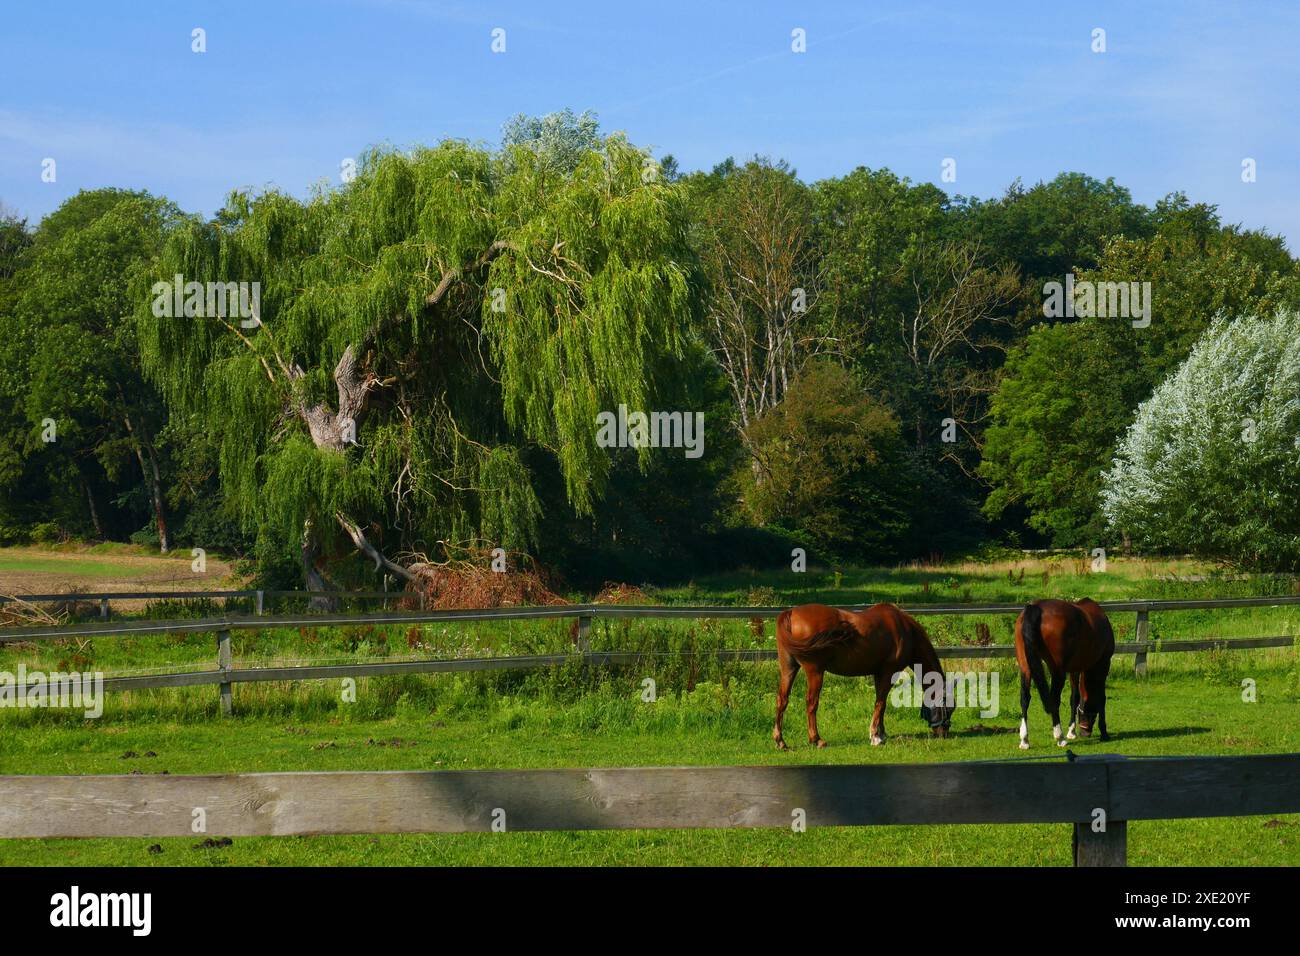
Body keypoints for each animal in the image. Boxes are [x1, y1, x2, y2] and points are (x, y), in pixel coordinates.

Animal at [774, 600, 951, 749]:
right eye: (948, 707)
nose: (944, 733)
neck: (904, 629)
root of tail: (790, 613)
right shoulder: (889, 672)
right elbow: (881, 703)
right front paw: (875, 736)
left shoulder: (879, 674)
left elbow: (881, 703)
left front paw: (881, 733)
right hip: (815, 672)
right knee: (811, 702)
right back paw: (816, 739)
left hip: (789, 669)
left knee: (782, 700)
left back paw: (780, 741)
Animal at [1013, 600, 1118, 749]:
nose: (1085, 732)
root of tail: (1036, 607)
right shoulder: (1104, 663)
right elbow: (1101, 698)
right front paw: (1104, 732)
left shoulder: (1075, 669)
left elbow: (1074, 697)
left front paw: (1072, 731)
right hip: (1057, 671)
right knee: (1053, 700)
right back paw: (1059, 737)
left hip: (1025, 665)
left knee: (1025, 698)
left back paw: (1024, 740)